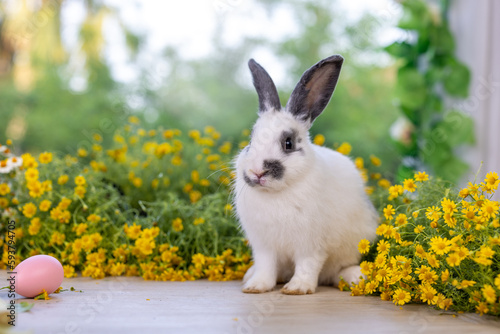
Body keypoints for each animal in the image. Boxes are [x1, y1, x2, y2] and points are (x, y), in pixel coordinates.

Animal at [234, 55, 378, 294]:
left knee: (339, 270)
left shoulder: (311, 245)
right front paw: (256, 287)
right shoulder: (264, 246)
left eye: (288, 143)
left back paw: (356, 277)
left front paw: (297, 289)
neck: (276, 193)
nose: (257, 172)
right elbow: (265, 267)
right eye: (250, 141)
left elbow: (307, 265)